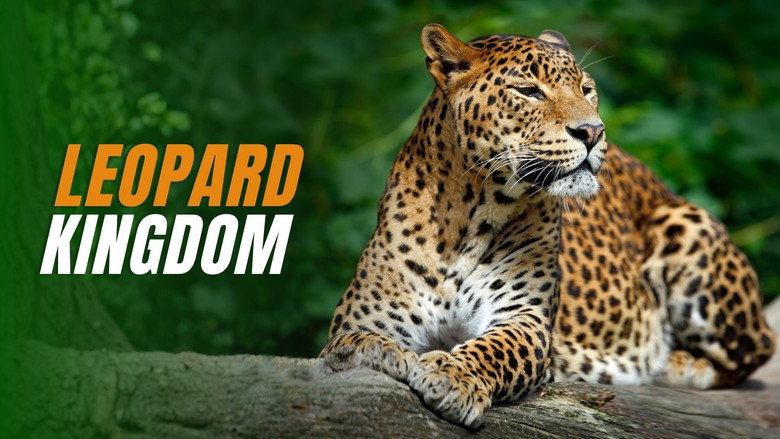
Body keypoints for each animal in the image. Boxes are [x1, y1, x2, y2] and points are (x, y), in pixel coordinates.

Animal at [319, 24, 776, 428]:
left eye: (586, 89)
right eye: (529, 91)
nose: (593, 131)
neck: (468, 217)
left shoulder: (526, 319)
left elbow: (494, 349)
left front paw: (452, 376)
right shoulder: (363, 317)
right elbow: (351, 343)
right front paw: (379, 353)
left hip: (686, 225)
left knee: (755, 350)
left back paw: (673, 362)